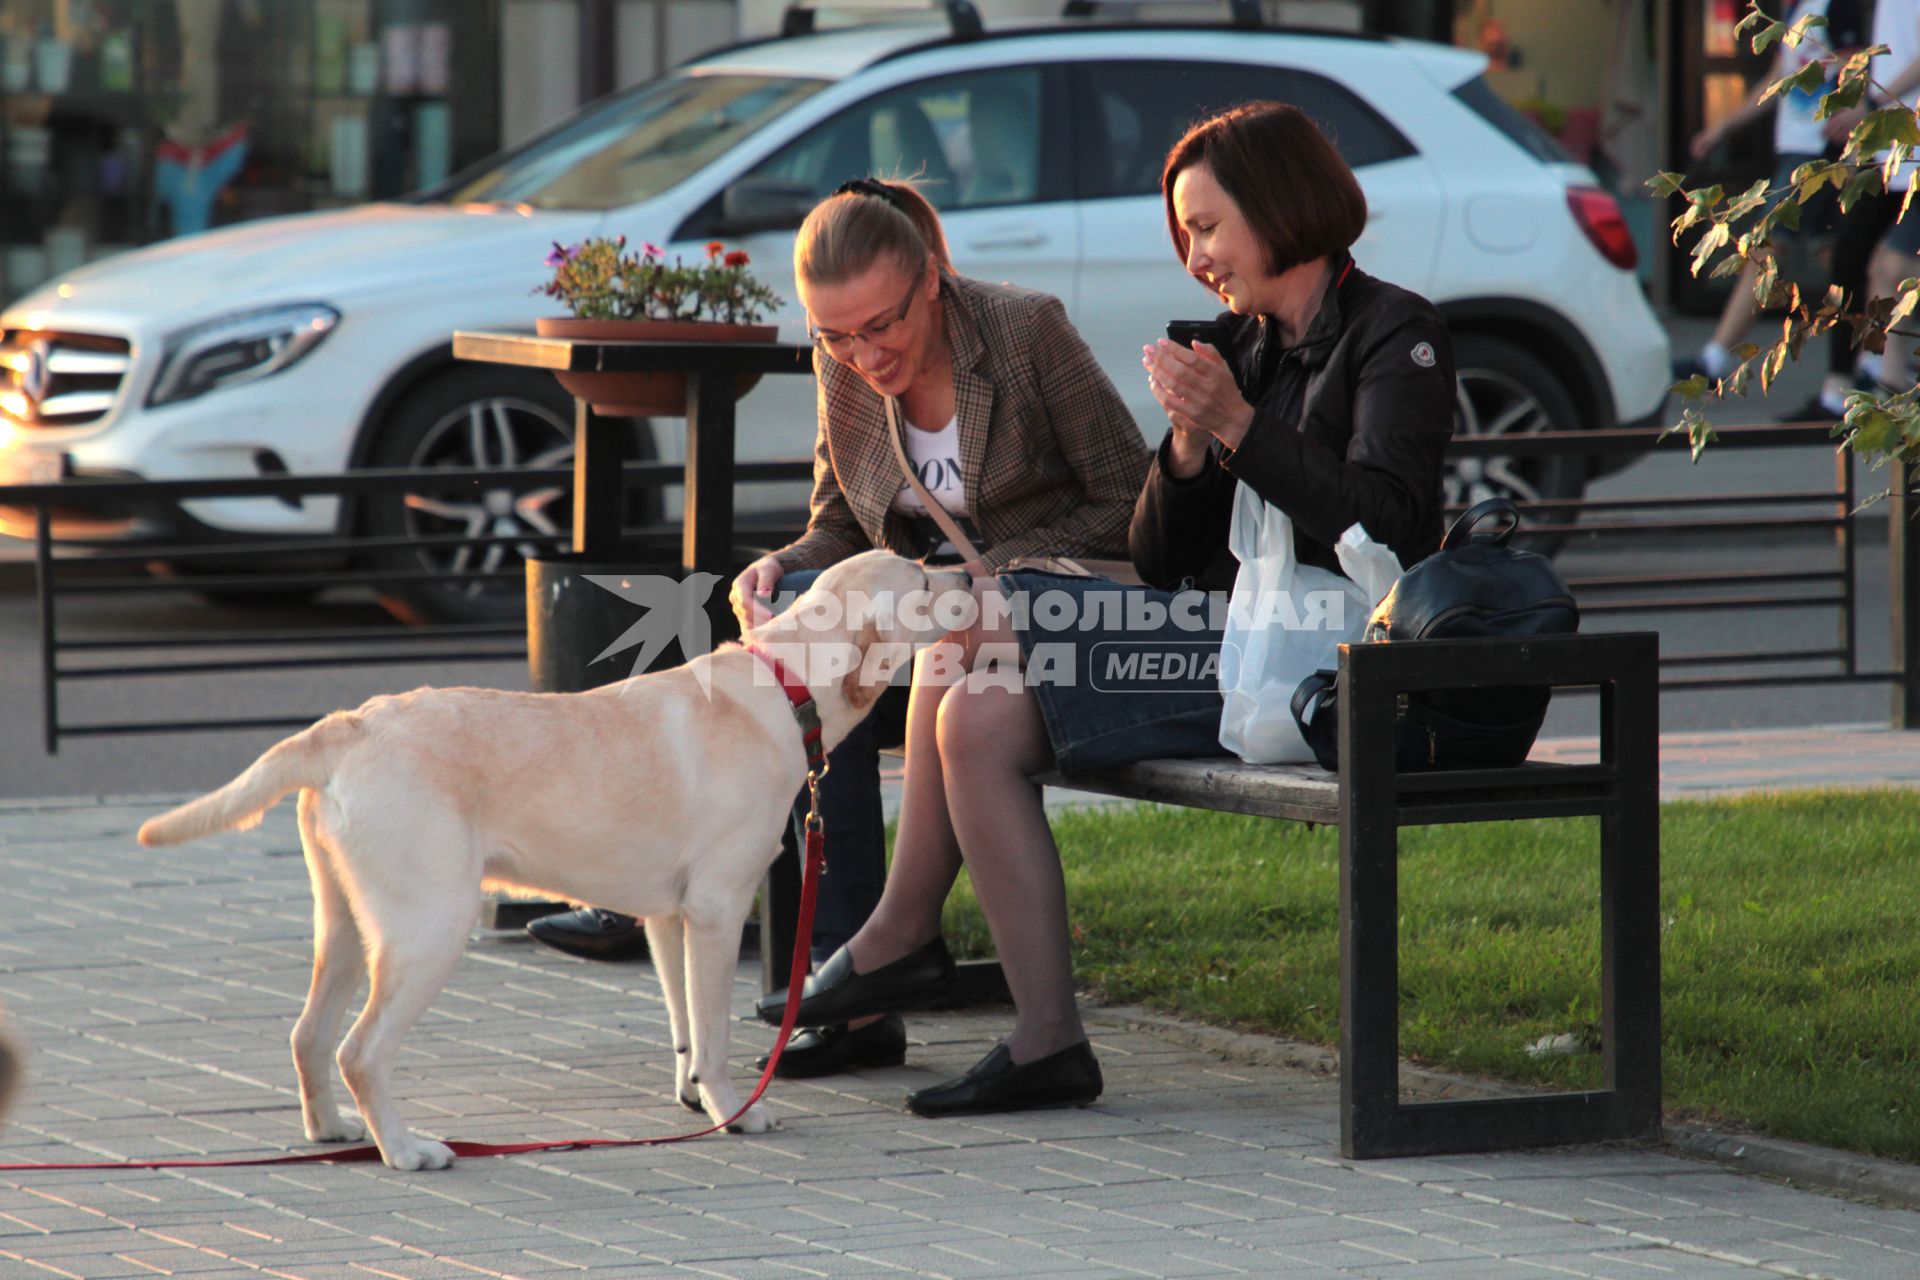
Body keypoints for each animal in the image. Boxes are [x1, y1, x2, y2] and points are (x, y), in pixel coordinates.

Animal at [142, 552, 975, 1174]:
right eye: (921, 579)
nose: (969, 572)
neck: (784, 686)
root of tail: (347, 725)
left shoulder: (669, 917)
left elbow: (684, 1023)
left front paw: (692, 1098)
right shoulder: (716, 908)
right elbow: (712, 1030)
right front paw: (733, 1111)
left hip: (347, 923)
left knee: (309, 1036)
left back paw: (333, 1132)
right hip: (430, 928)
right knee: (360, 1050)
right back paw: (407, 1149)